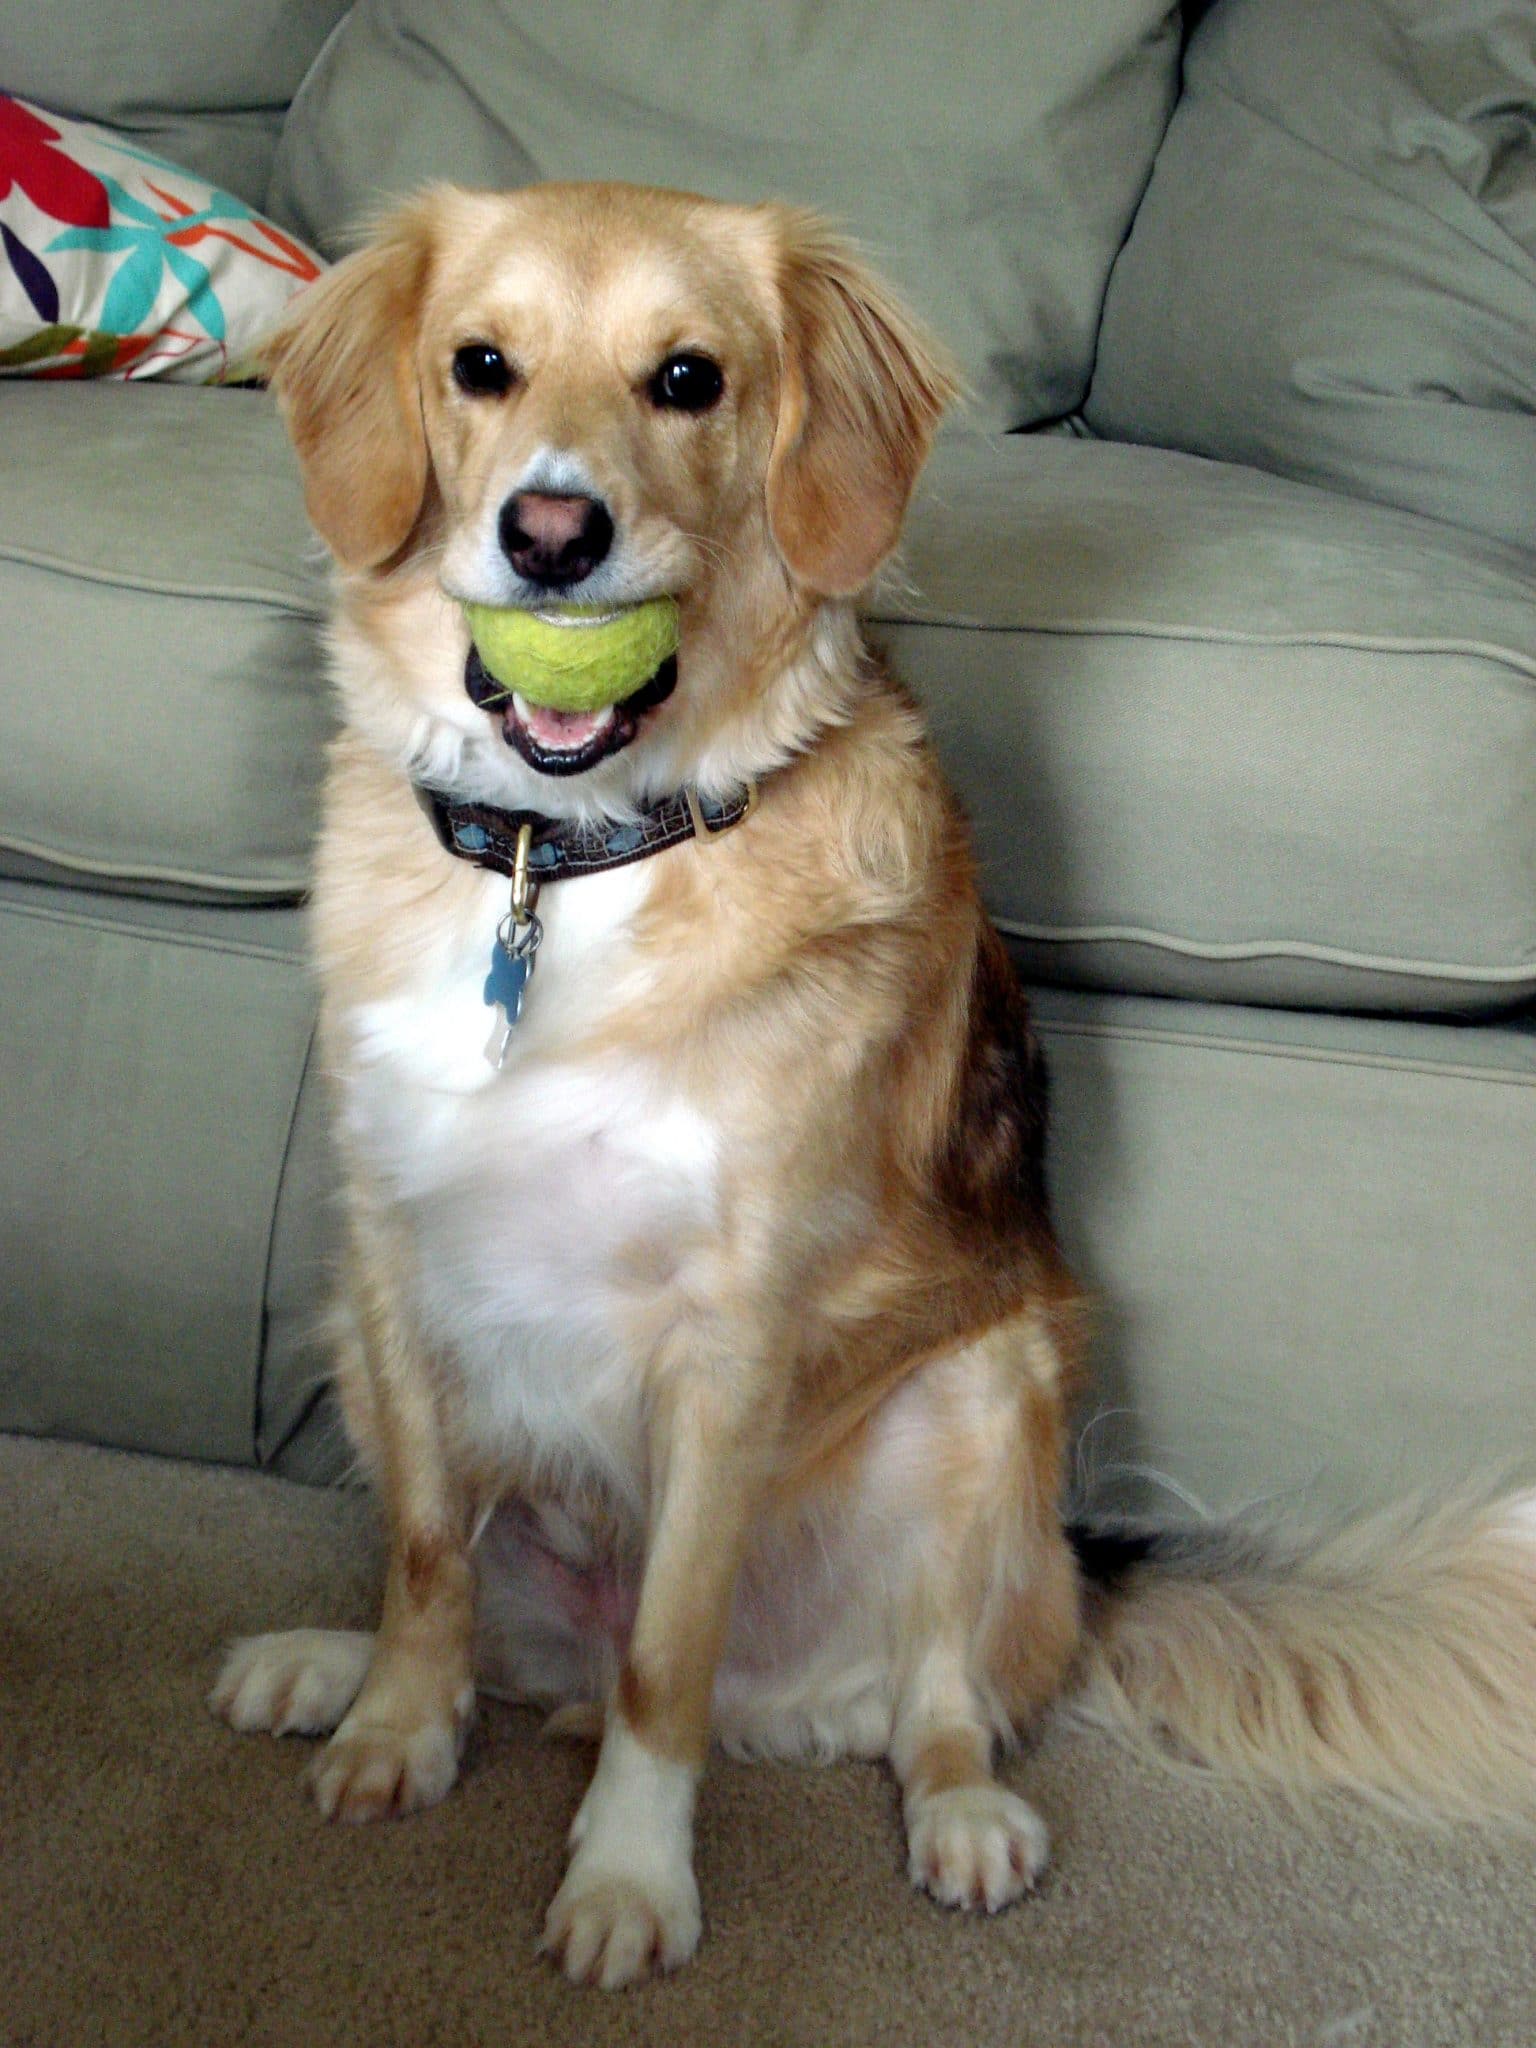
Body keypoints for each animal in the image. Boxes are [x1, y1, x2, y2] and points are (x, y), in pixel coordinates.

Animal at [210, 180, 1536, 1982]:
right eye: (481, 365)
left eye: (687, 380)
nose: (551, 534)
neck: (566, 864)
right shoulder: (392, 1256)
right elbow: (425, 1558)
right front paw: (393, 1726)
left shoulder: (728, 1337)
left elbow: (667, 1660)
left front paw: (630, 1878)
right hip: (355, 1338)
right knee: (507, 1633)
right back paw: (322, 1662)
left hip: (984, 1399)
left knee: (932, 1704)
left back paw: (963, 1818)